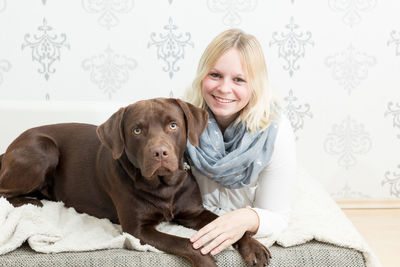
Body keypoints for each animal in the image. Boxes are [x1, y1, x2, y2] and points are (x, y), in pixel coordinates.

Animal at [0, 99, 270, 267]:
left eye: (173, 125)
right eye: (137, 130)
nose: (159, 153)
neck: (165, 186)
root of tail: (10, 147)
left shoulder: (193, 212)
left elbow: (229, 225)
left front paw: (253, 246)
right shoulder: (138, 229)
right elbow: (182, 242)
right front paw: (206, 260)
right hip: (44, 150)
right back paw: (30, 201)